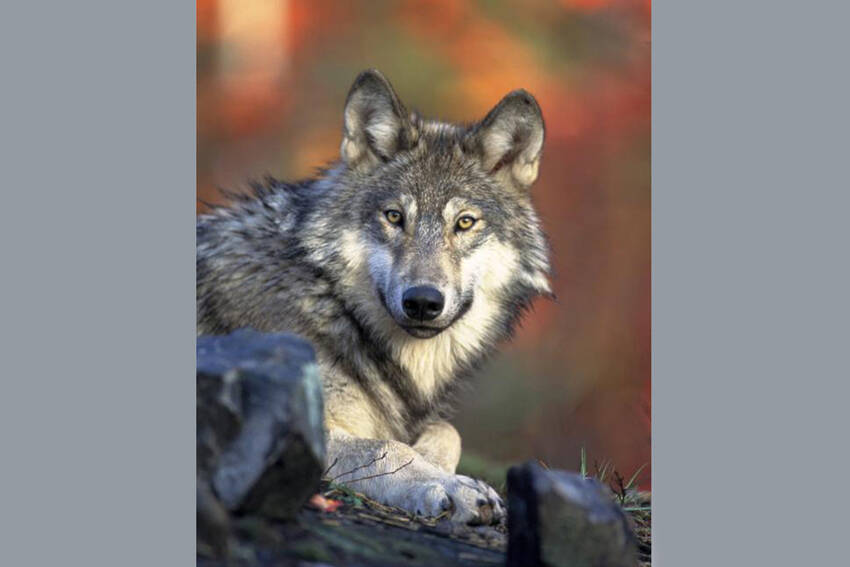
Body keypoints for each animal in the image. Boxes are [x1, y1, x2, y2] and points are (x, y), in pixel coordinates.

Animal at [198, 69, 548, 524]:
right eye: (394, 217)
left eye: (465, 223)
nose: (423, 301)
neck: (332, 303)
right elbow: (386, 447)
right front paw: (450, 486)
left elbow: (446, 431)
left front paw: (438, 464)